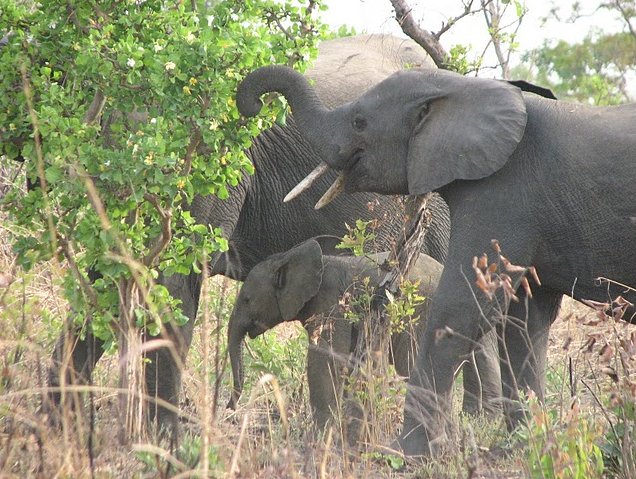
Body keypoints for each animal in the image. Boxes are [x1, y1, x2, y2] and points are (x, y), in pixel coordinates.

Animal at [227, 238, 442, 434]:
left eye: (247, 299)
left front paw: (321, 434)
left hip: (419, 316)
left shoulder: (332, 304)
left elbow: (325, 360)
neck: (287, 257)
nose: (232, 414)